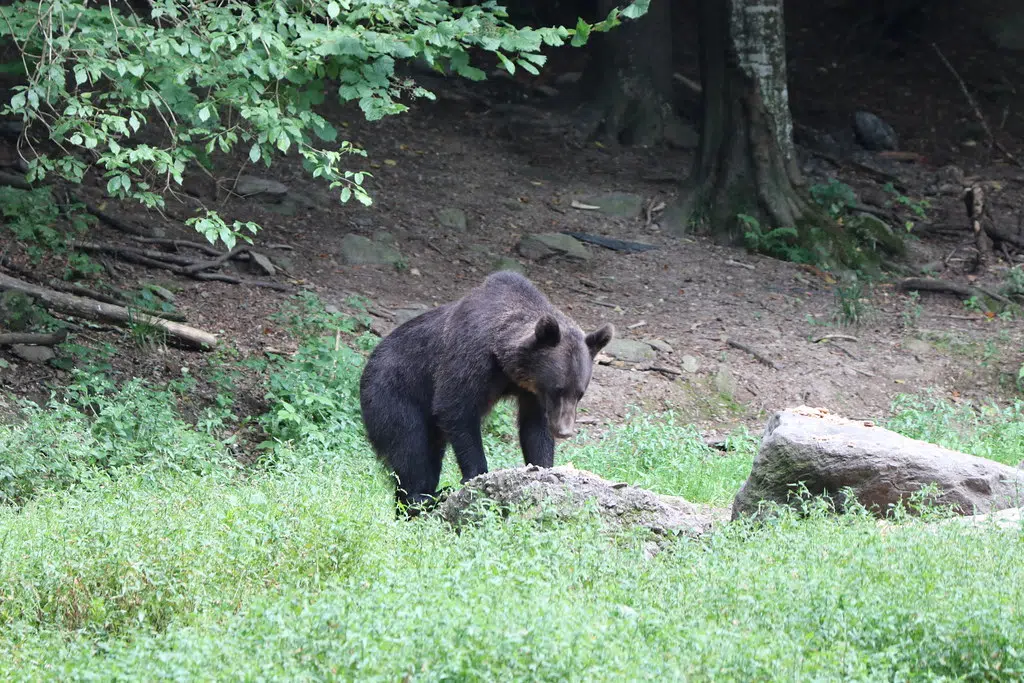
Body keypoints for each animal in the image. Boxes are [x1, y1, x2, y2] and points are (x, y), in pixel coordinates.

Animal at [359, 270, 614, 515]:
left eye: (579, 393)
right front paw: (476, 477)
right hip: (393, 393)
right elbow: (456, 408)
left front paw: (542, 468)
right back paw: (422, 497)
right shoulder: (469, 356)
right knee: (410, 446)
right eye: (557, 389)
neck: (507, 365)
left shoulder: (532, 393)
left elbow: (535, 427)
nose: (564, 430)